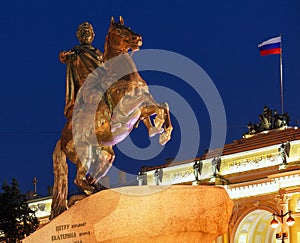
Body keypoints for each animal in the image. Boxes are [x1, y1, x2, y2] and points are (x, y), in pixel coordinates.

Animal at [50, 16, 172, 218]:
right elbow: (155, 103)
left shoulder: (139, 111)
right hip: (83, 154)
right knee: (78, 180)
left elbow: (162, 105)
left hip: (104, 156)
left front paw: (160, 131)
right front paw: (160, 127)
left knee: (89, 178)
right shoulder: (126, 110)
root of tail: (61, 138)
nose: (137, 38)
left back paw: (94, 192)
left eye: (128, 26)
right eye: (119, 31)